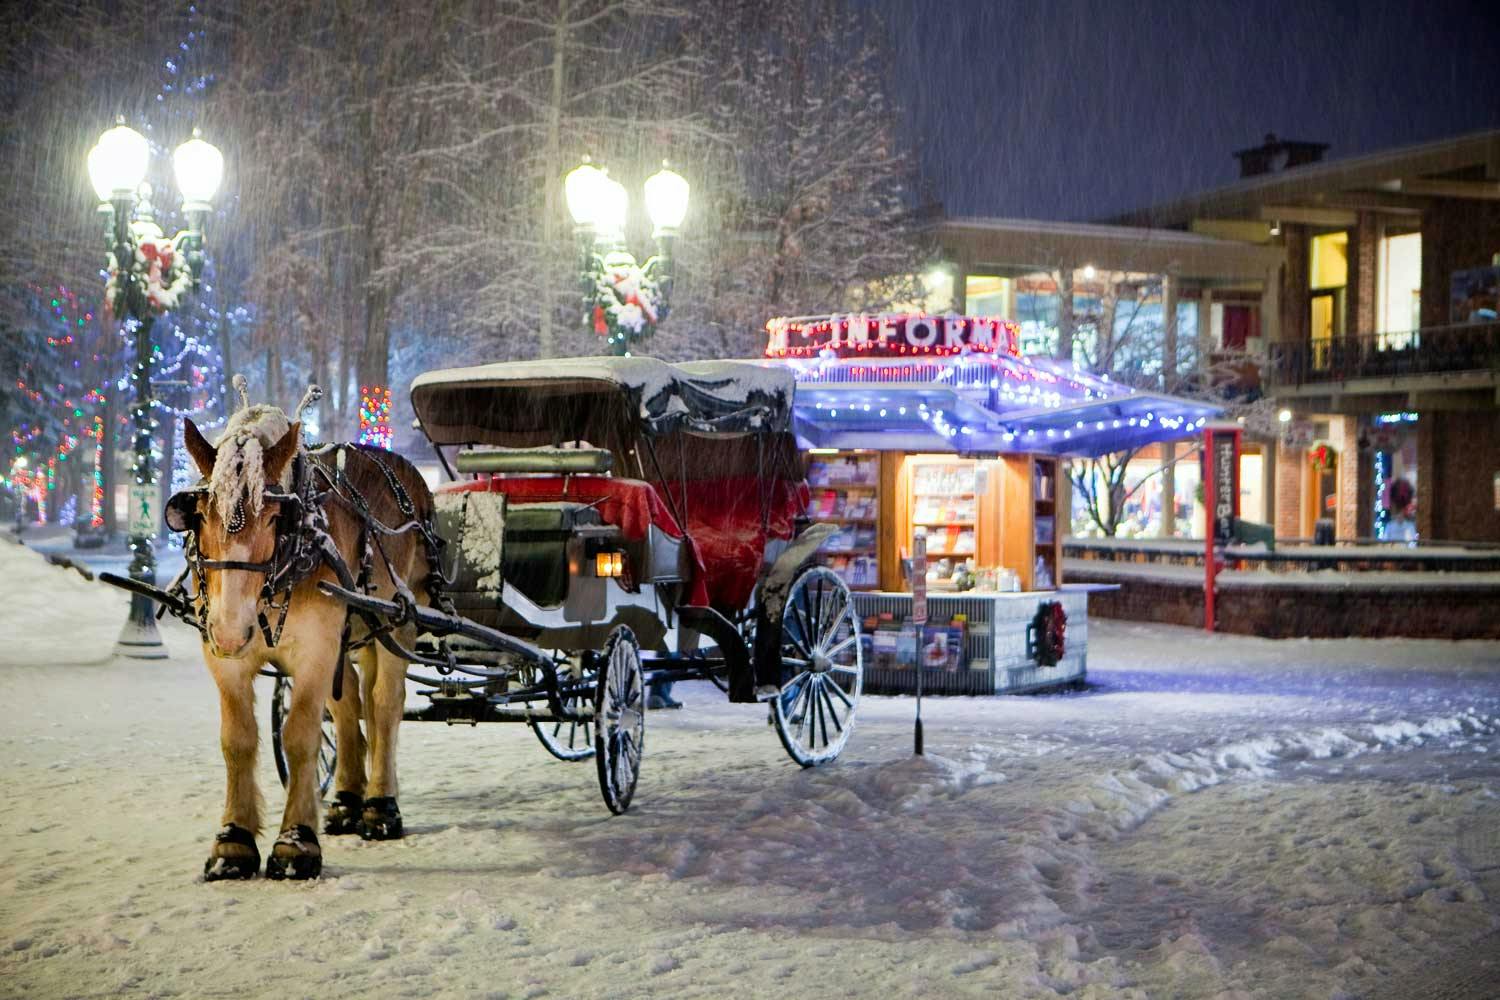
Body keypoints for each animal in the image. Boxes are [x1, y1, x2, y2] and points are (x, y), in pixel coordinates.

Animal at [177, 395, 435, 881]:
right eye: (199, 515)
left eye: (275, 517)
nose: (230, 629)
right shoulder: (223, 659)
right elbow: (236, 740)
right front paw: (233, 841)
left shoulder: (315, 651)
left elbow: (301, 736)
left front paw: (295, 843)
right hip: (350, 632)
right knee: (351, 705)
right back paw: (348, 800)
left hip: (397, 618)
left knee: (384, 705)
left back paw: (380, 806)